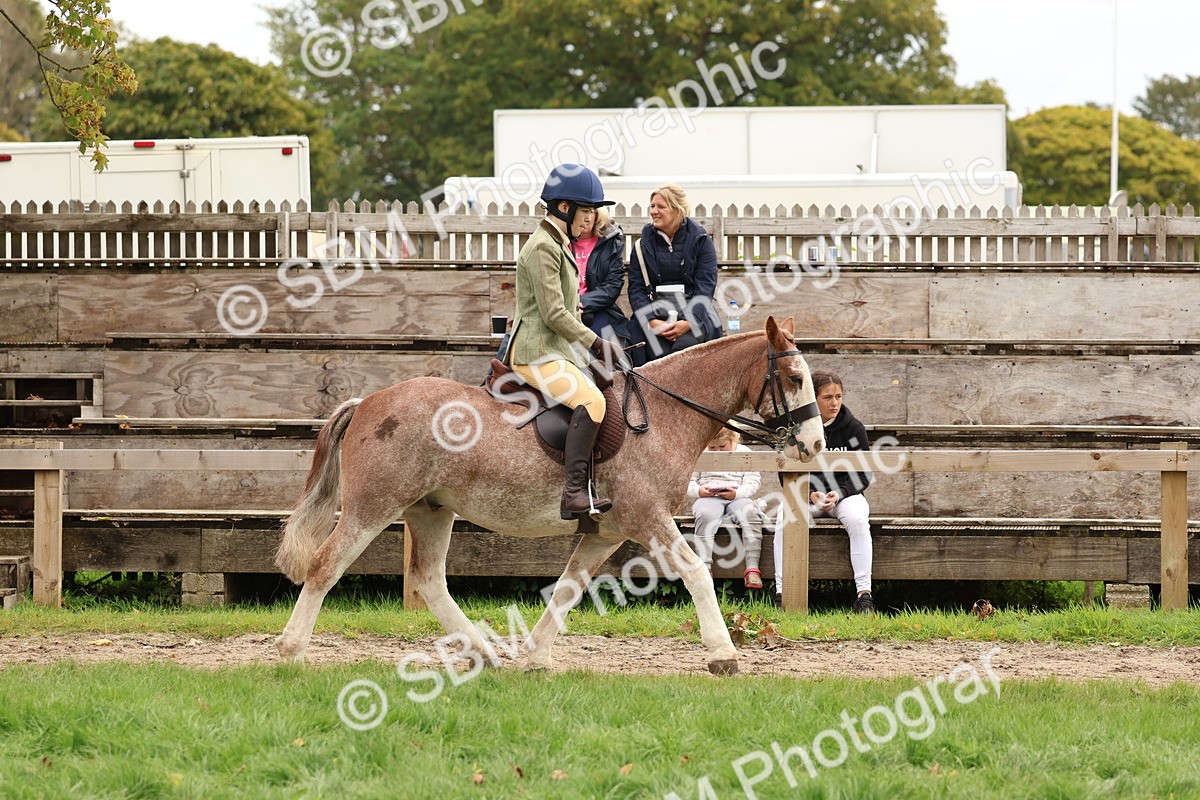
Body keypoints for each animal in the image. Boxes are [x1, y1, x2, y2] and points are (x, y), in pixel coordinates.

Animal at [274, 316, 825, 676]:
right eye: (795, 378)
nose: (815, 445)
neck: (663, 412)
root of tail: (368, 401)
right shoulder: (648, 518)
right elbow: (695, 573)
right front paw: (723, 655)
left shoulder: (607, 531)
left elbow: (567, 588)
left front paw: (535, 656)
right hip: (372, 508)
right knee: (326, 566)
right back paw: (291, 652)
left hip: (432, 510)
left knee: (428, 580)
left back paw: (485, 654)